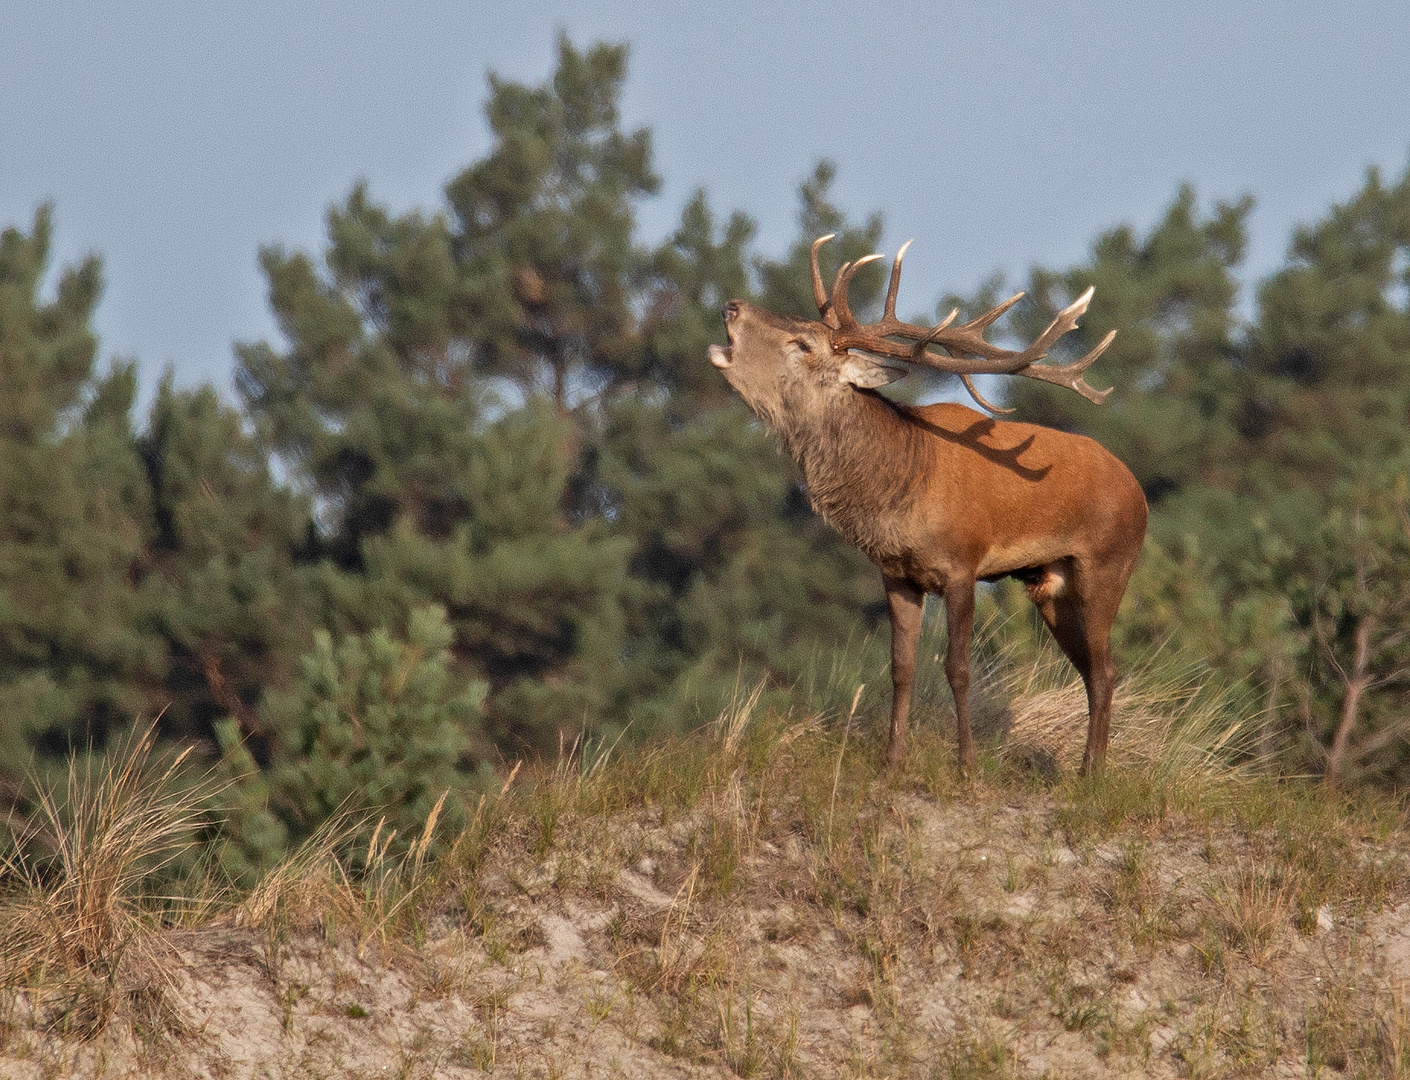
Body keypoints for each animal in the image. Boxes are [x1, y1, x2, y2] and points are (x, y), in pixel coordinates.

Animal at [710, 236, 1150, 778]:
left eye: (803, 344)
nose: (732, 306)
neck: (899, 492)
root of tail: (1138, 491)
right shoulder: (896, 573)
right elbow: (901, 667)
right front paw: (892, 761)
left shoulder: (963, 564)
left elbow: (958, 669)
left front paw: (966, 765)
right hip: (1050, 583)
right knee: (1092, 669)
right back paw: (1088, 767)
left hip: (1109, 564)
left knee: (1106, 668)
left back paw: (1092, 774)